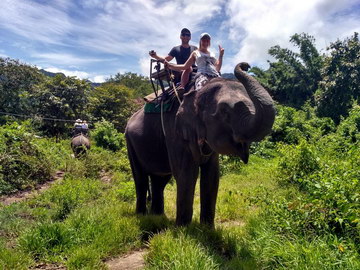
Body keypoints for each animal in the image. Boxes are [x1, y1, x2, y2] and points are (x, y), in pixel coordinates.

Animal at [125, 62, 274, 226]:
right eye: (224, 112)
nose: (246, 65)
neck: (197, 91)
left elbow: (212, 175)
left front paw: (207, 228)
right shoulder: (174, 131)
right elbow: (186, 173)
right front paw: (183, 228)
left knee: (160, 179)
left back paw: (157, 217)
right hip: (130, 142)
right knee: (140, 179)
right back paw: (142, 216)